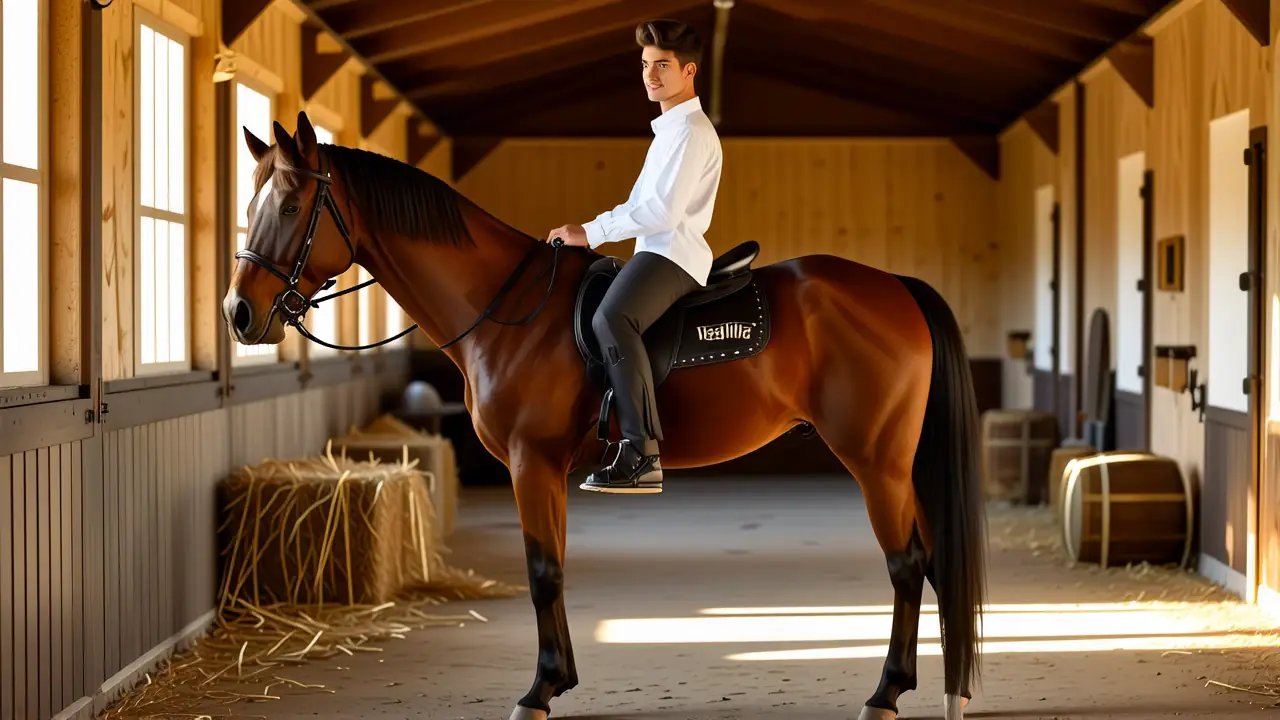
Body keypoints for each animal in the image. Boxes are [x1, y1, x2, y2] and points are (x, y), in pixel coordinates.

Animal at [223, 111, 987, 720]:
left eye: (289, 206)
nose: (239, 313)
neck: (507, 309)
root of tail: (895, 287)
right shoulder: (546, 469)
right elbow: (554, 567)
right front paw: (558, 680)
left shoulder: (530, 462)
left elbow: (542, 573)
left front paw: (536, 693)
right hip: (898, 464)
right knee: (931, 564)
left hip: (876, 460)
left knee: (908, 565)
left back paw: (885, 694)